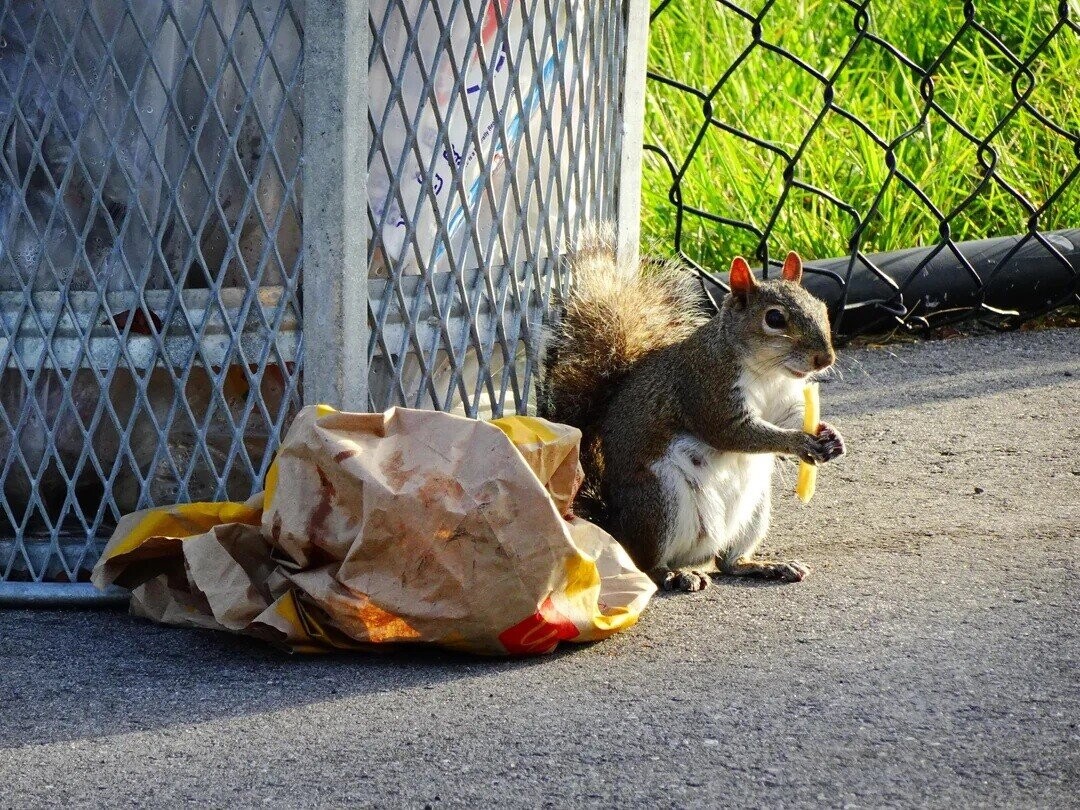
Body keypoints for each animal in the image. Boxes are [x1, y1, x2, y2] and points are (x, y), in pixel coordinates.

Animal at [540, 231, 845, 592]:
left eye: (821, 306)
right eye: (774, 318)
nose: (825, 359)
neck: (769, 372)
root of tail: (614, 524)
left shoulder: (783, 402)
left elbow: (788, 417)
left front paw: (831, 436)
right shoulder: (706, 389)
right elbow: (733, 433)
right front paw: (799, 443)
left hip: (754, 509)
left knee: (728, 563)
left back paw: (764, 565)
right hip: (660, 502)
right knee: (647, 563)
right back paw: (674, 574)